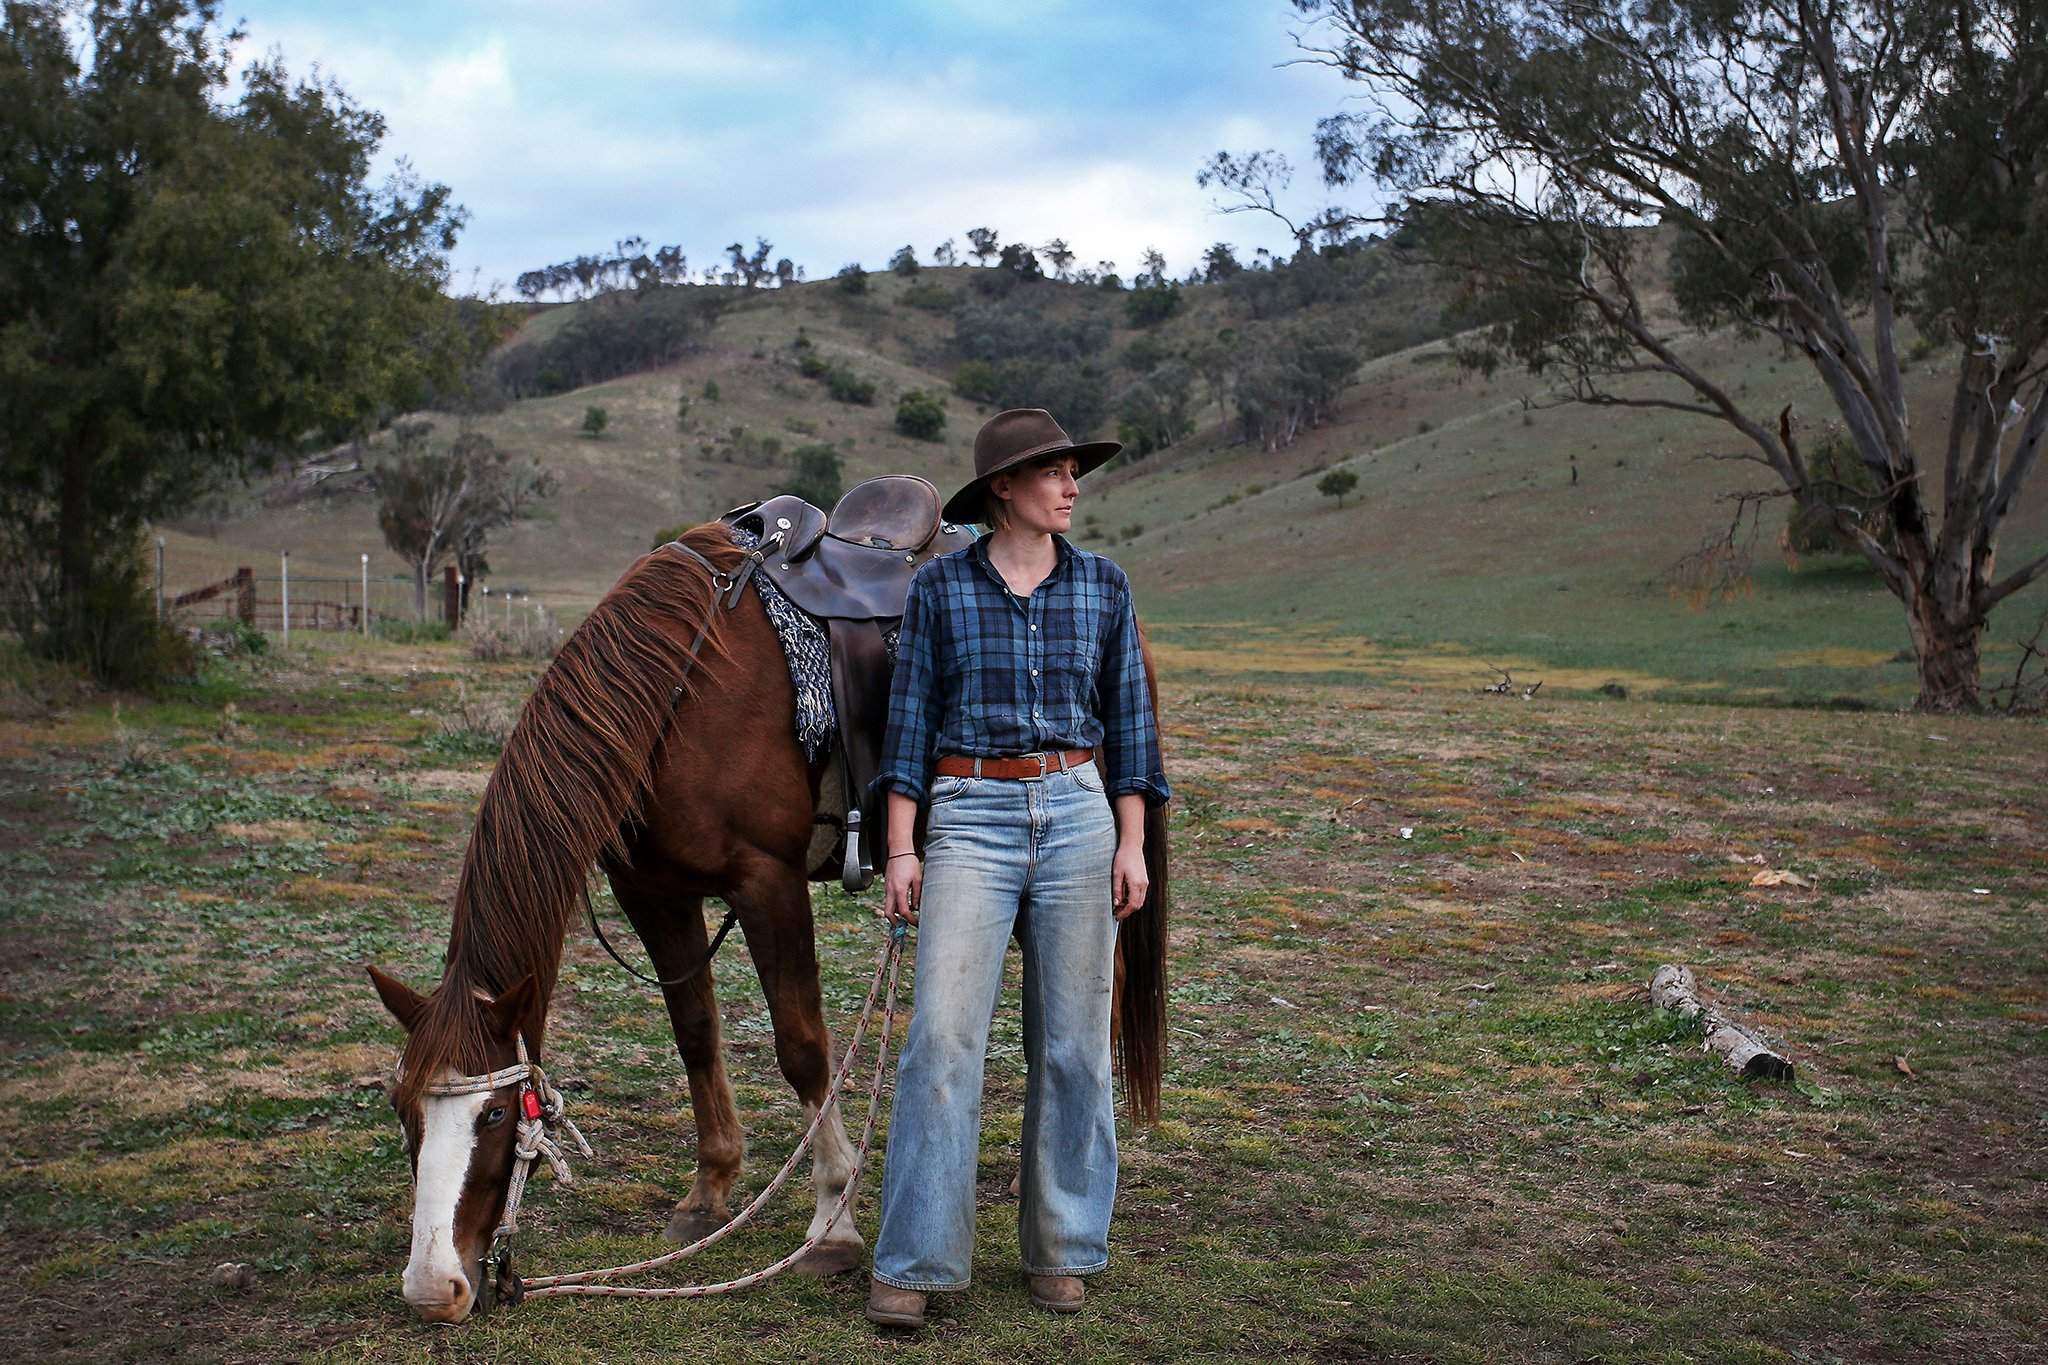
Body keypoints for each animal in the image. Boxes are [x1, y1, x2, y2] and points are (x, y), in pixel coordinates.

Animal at [364, 527, 1171, 1326]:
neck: (675, 698)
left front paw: (832, 1222)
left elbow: (803, 1048)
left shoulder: (767, 882)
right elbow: (695, 1033)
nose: (433, 1287)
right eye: (404, 1110)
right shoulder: (652, 891)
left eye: (496, 1114)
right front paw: (709, 1191)